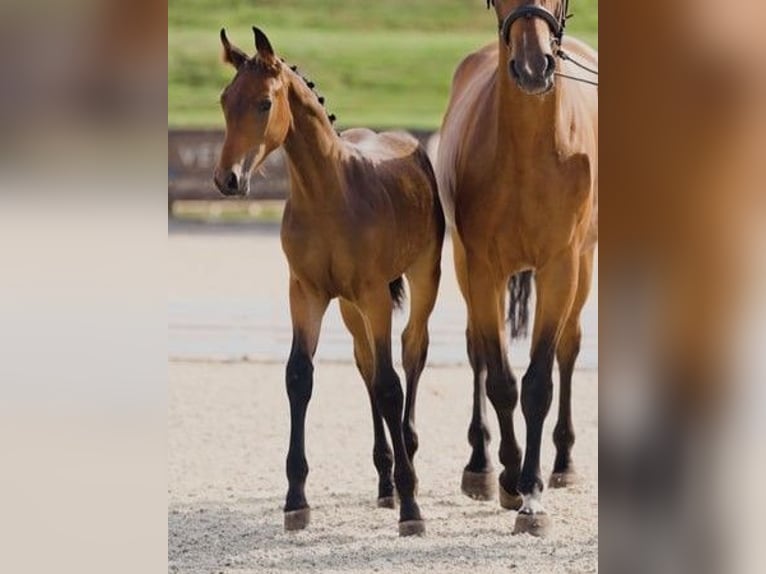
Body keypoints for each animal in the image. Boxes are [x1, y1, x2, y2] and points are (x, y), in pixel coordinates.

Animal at [214, 27, 445, 537]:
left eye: (264, 103)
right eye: (224, 100)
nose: (227, 179)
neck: (330, 198)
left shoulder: (375, 294)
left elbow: (390, 386)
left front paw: (412, 508)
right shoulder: (306, 293)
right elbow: (300, 376)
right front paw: (295, 500)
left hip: (423, 276)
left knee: (410, 352)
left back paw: (408, 458)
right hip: (348, 307)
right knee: (365, 363)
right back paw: (384, 481)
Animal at [436, 0, 597, 536]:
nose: (532, 67)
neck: (529, 151)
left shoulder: (561, 267)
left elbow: (539, 383)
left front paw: (533, 493)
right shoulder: (481, 268)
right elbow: (502, 381)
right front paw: (507, 478)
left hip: (584, 265)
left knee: (569, 349)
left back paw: (563, 462)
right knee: (478, 354)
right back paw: (481, 466)